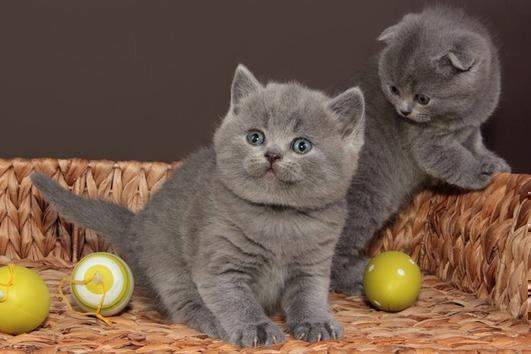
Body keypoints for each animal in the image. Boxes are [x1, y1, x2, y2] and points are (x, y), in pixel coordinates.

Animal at [32, 65, 366, 348]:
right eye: (255, 137)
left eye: (301, 145)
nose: (272, 154)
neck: (277, 219)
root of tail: (137, 223)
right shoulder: (219, 261)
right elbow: (236, 299)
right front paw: (256, 327)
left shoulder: (314, 264)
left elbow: (309, 294)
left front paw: (315, 322)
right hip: (167, 263)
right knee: (184, 303)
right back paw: (210, 321)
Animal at [332, 6, 512, 296]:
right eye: (394, 89)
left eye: (422, 98)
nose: (404, 111)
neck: (461, 114)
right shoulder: (428, 143)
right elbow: (452, 159)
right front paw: (478, 173)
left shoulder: (471, 128)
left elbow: (475, 144)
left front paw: (493, 163)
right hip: (365, 199)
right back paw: (352, 280)